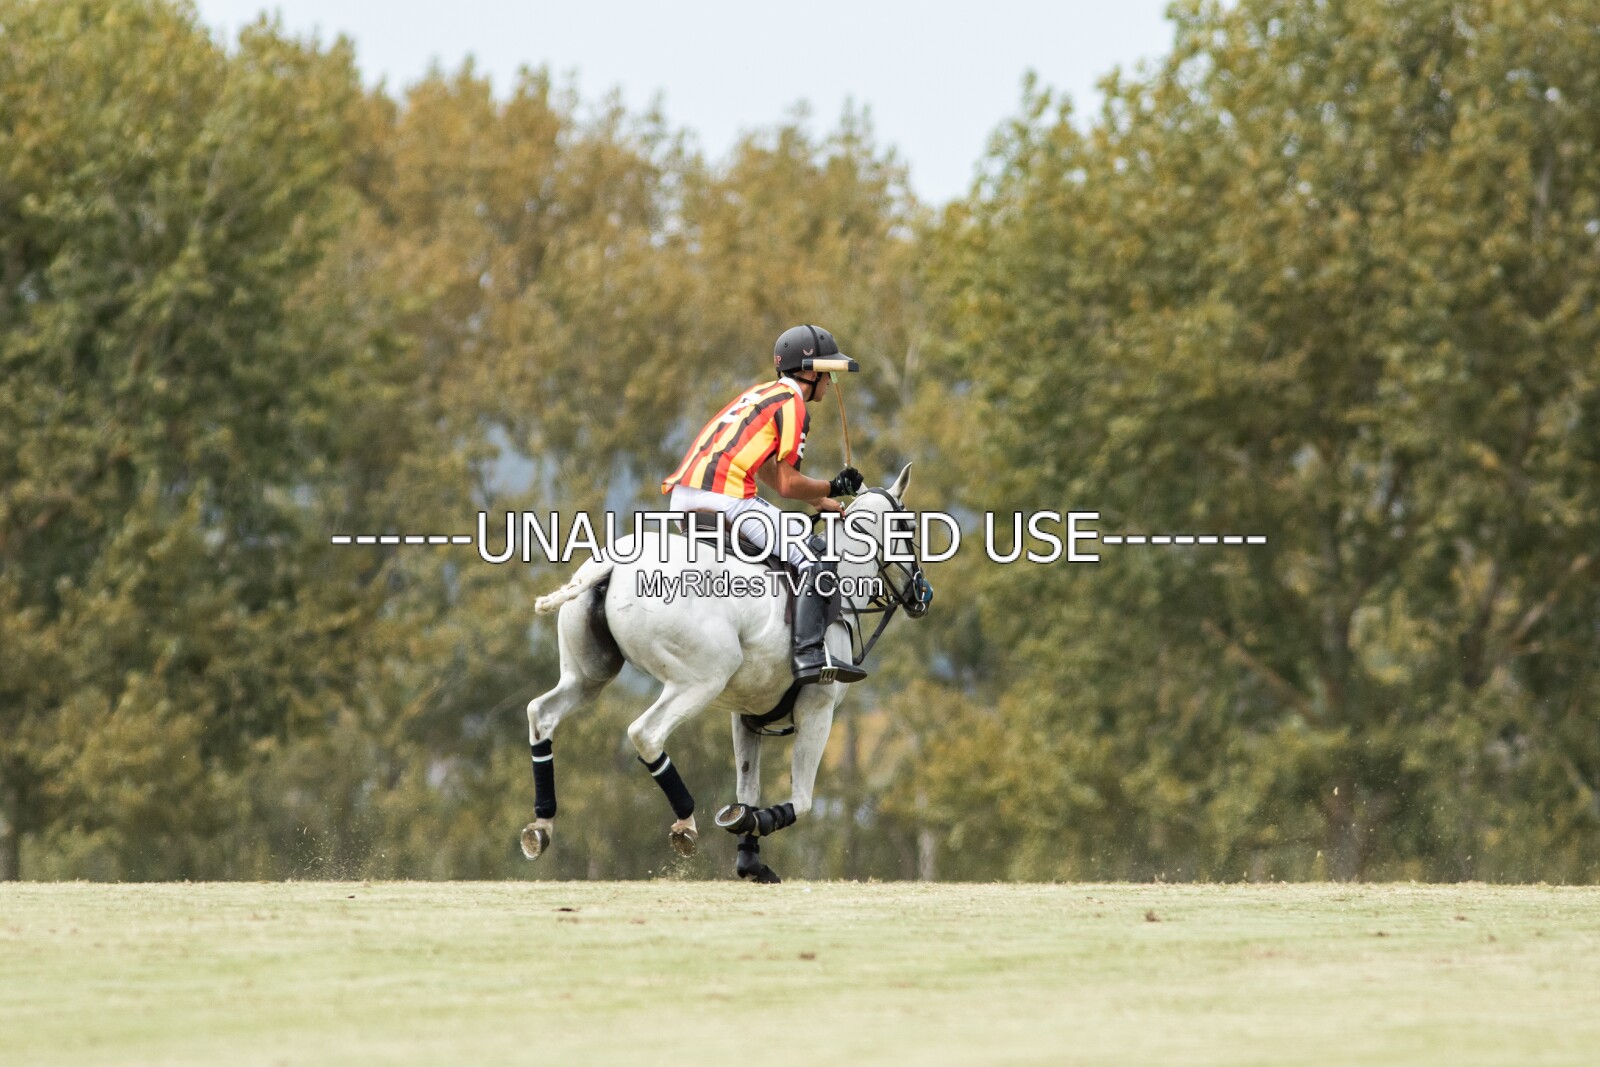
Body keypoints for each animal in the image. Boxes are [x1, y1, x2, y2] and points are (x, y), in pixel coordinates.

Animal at [519, 463, 930, 883]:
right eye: (911, 527)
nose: (922, 594)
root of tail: (612, 563)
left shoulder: (746, 715)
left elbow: (747, 789)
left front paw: (750, 860)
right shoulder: (818, 707)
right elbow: (802, 800)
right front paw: (752, 823)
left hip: (589, 675)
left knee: (542, 712)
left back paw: (541, 826)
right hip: (701, 678)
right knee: (645, 733)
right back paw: (685, 823)